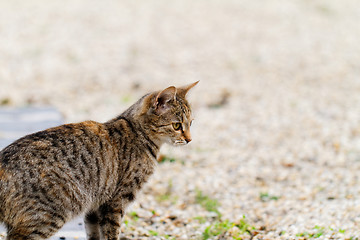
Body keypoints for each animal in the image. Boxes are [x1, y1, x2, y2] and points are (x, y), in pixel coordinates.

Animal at [0, 81, 197, 239]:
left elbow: (94, 234)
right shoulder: (116, 201)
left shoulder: (94, 207)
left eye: (191, 123)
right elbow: (112, 232)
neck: (137, 133)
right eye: (177, 125)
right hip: (47, 215)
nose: (189, 139)